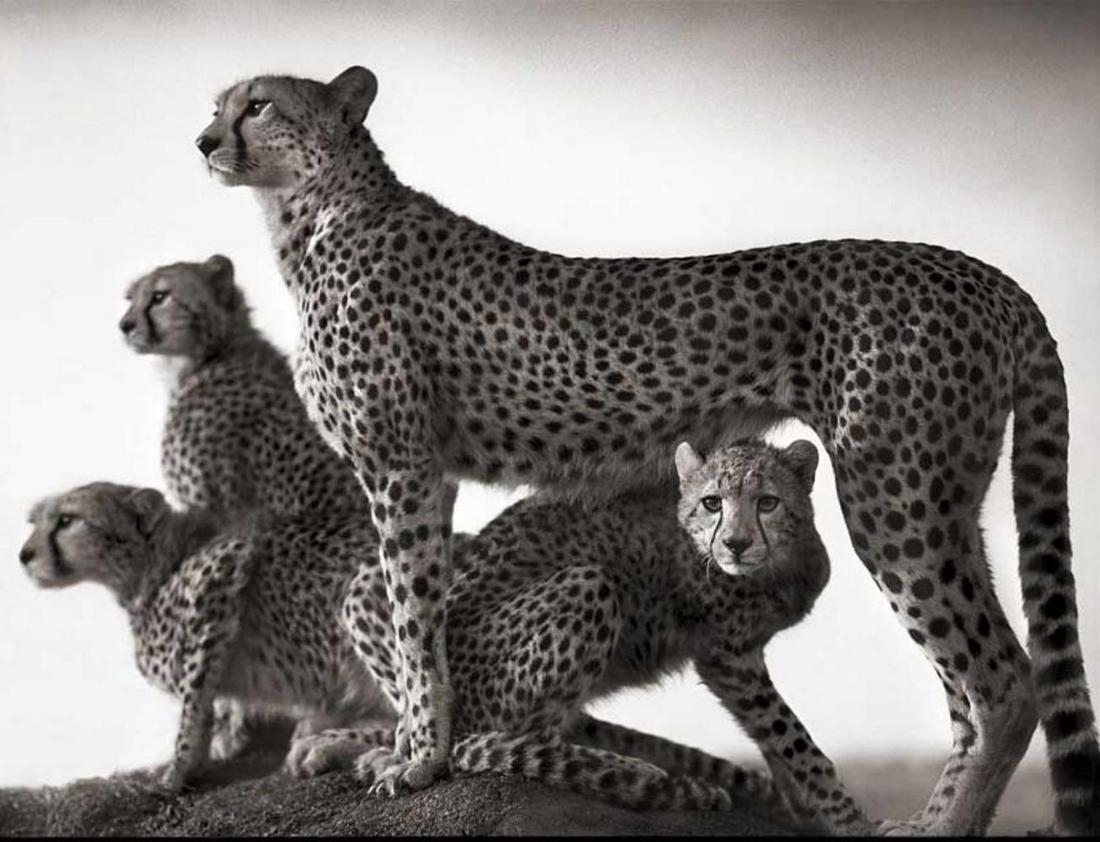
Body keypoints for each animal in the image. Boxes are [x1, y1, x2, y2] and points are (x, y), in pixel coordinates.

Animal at [18, 482, 392, 791]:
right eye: (33, 522)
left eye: (67, 520)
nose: (24, 555)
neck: (155, 564)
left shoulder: (223, 563)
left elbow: (194, 699)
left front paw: (178, 770)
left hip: (361, 591)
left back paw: (343, 747)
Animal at [287, 439, 862, 829]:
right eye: (712, 502)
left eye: (767, 502)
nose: (737, 544)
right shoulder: (728, 657)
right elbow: (793, 738)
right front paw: (846, 815)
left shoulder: (745, 656)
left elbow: (774, 742)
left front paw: (801, 809)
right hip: (588, 586)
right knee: (499, 742)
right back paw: (639, 772)